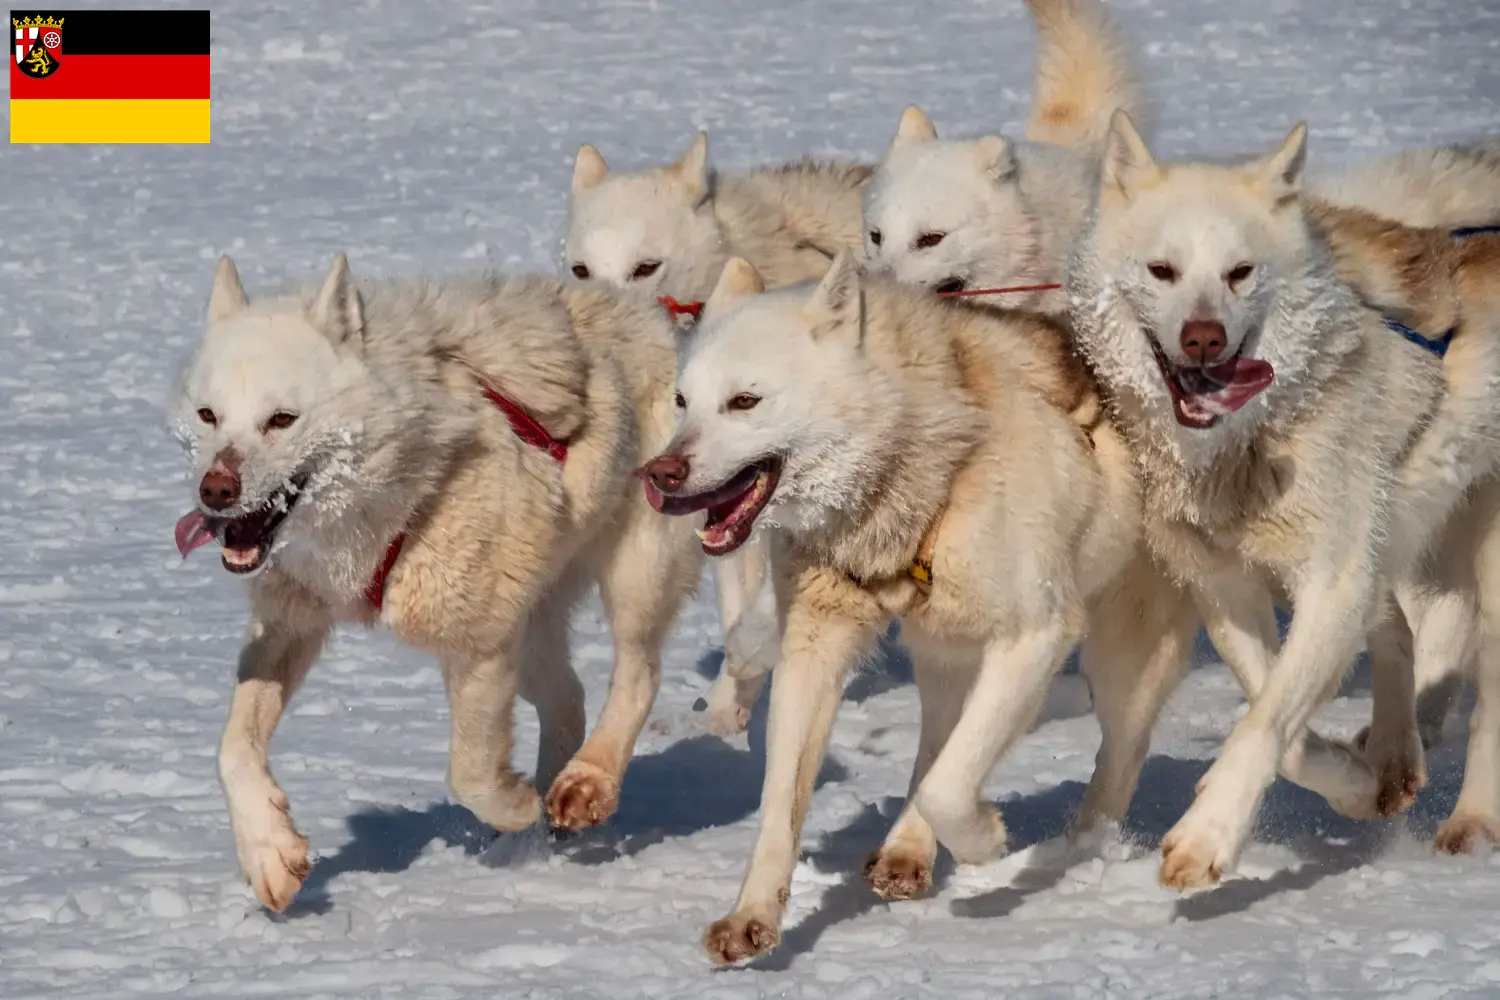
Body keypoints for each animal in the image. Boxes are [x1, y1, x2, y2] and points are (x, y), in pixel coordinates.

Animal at [171, 254, 702, 911]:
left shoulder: (479, 646)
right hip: (532, 627)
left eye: (281, 420)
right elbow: (231, 749)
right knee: (569, 699)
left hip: (634, 578)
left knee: (637, 674)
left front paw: (514, 806)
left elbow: (469, 772)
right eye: (209, 416)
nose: (216, 489)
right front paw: (268, 851)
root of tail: (650, 315)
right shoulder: (289, 623)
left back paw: (585, 782)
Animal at [642, 254, 1194, 965]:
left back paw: (1075, 849)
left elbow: (949, 785)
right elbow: (782, 800)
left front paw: (985, 839)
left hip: (1122, 656)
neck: (932, 468)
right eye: (683, 402)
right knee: (938, 732)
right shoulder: (815, 645)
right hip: (944, 647)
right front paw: (752, 914)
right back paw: (907, 849)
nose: (660, 474)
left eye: (745, 401)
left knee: (1118, 755)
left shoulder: (1035, 636)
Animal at [1062, 113, 1500, 887]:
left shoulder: (1333, 580)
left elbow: (1267, 720)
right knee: (1403, 633)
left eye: (1240, 273)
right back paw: (1395, 750)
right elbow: (1278, 718)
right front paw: (1354, 786)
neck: (1245, 445)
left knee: (1487, 707)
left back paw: (1472, 819)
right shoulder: (1226, 586)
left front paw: (1207, 836)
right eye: (1162, 270)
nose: (1202, 338)